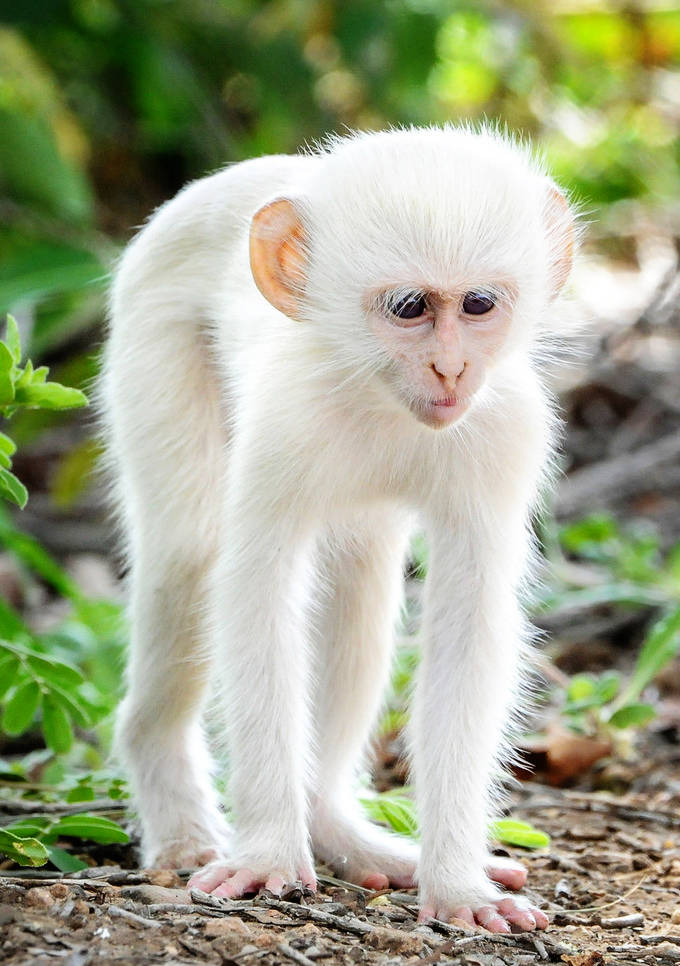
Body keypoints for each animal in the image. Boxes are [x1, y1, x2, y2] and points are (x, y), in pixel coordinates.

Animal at [103, 125, 576, 932]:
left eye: (478, 304)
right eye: (410, 307)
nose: (451, 369)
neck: (380, 394)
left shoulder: (507, 427)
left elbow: (470, 624)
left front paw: (455, 881)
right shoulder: (286, 419)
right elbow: (256, 593)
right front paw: (267, 855)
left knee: (359, 581)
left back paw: (335, 825)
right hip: (149, 330)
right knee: (188, 556)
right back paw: (177, 807)